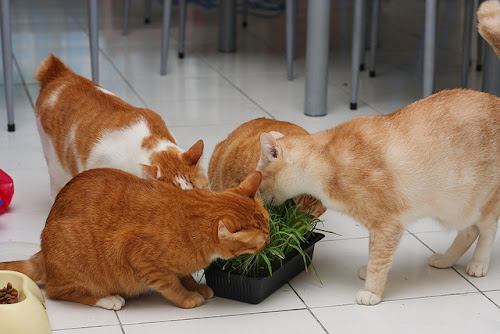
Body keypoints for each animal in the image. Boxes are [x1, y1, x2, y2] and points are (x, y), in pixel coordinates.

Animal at [0, 168, 270, 310]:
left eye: (269, 228)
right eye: (260, 241)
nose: (269, 243)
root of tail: (42, 255)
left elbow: (183, 275)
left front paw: (194, 286)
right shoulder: (141, 260)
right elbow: (171, 284)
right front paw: (187, 296)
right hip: (77, 267)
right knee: (58, 291)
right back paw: (108, 299)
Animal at [252, 0, 500, 306]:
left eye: (260, 183)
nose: (264, 205)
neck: (327, 162)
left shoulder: (387, 224)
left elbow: (380, 260)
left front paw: (371, 291)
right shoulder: (376, 227)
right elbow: (373, 251)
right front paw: (366, 271)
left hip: (479, 200)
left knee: (486, 230)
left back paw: (478, 264)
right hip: (452, 206)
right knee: (468, 230)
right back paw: (444, 260)